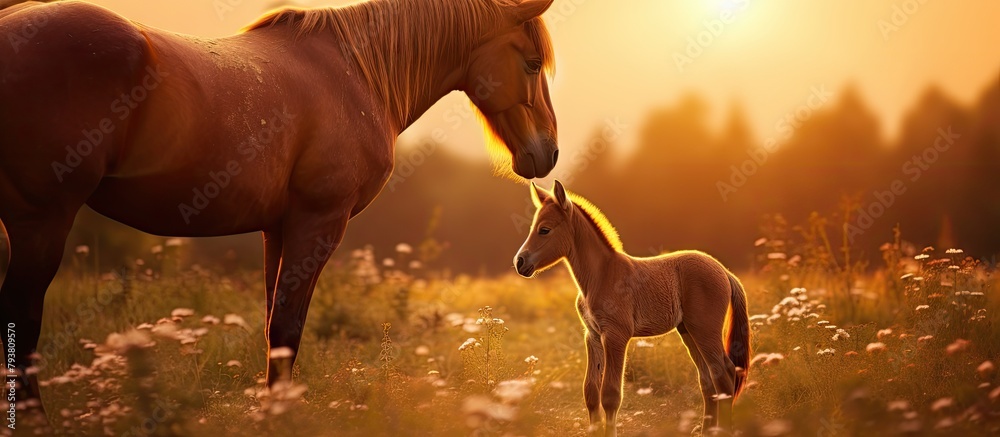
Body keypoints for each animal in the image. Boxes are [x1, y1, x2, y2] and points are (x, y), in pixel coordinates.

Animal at [0, 0, 560, 430]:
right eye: (532, 64)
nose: (548, 153)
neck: (356, 73)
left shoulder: (278, 229)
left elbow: (275, 326)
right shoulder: (318, 222)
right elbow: (288, 327)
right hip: (41, 223)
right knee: (22, 317)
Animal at [512, 180, 748, 432]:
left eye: (544, 229)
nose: (520, 262)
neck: (601, 275)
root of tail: (724, 272)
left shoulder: (616, 335)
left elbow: (610, 395)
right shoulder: (592, 336)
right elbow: (591, 393)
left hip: (705, 330)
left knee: (724, 375)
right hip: (688, 331)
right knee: (708, 380)